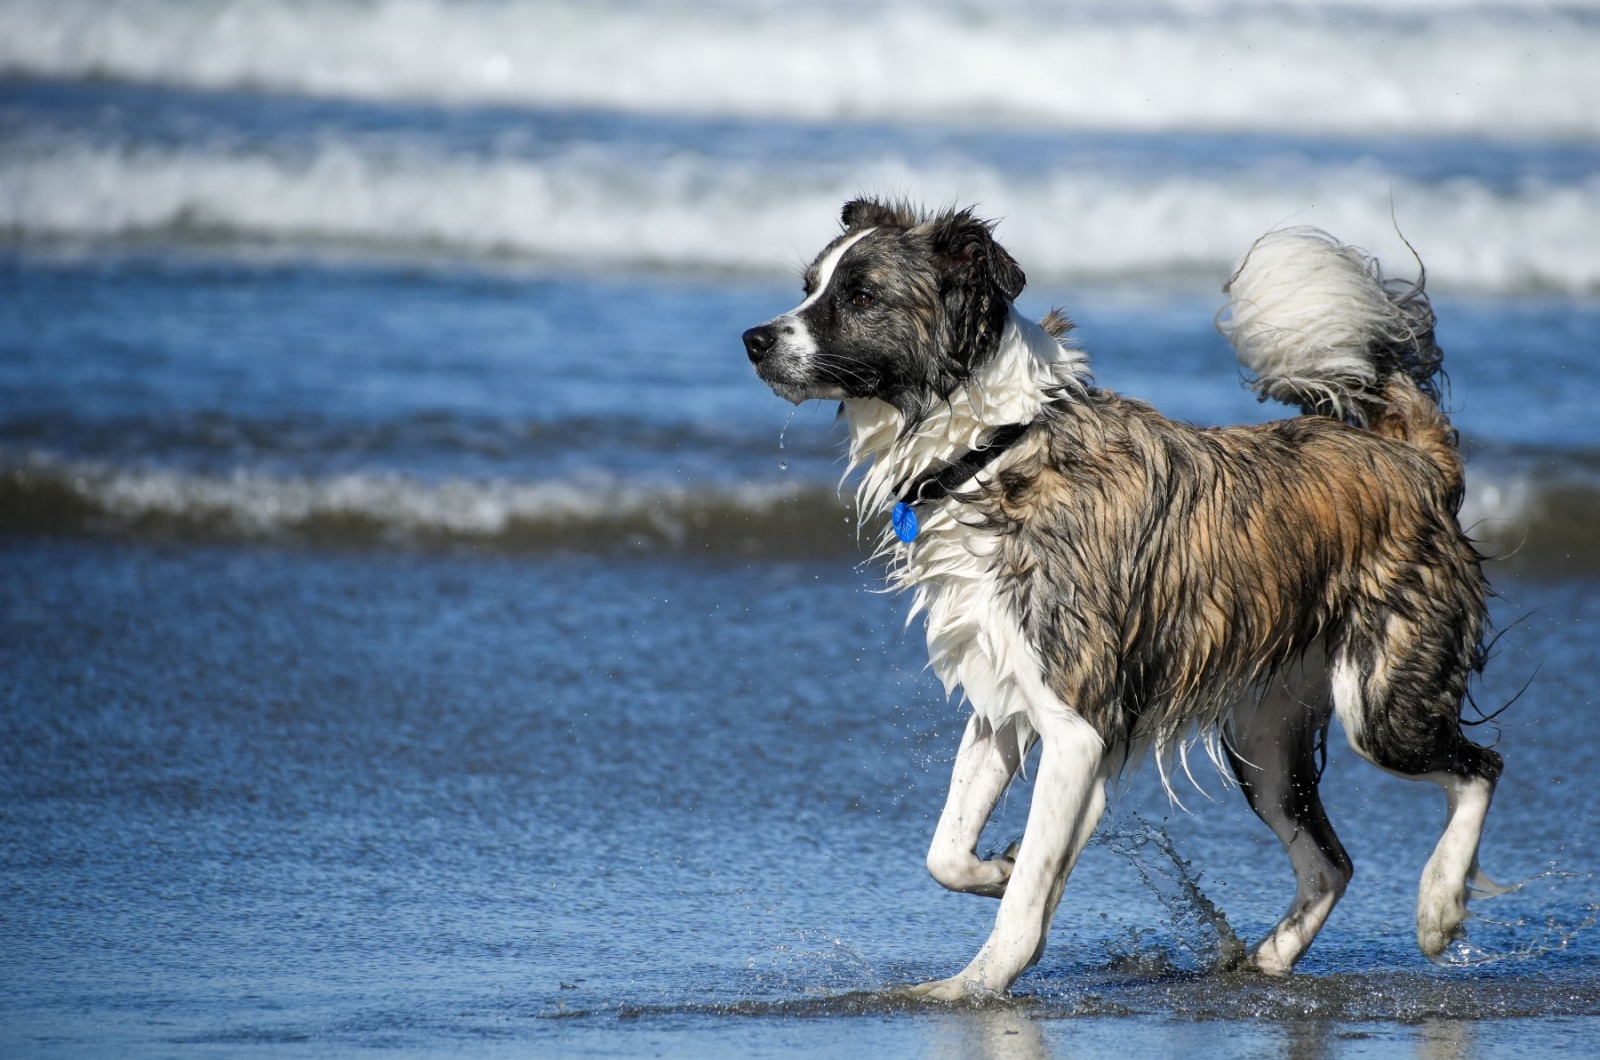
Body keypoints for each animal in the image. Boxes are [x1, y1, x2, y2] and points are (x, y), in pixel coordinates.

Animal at [742, 201, 1504, 1005]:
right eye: (809, 286)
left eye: (861, 296)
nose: (754, 340)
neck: (994, 447)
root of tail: (1416, 462)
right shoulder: (1004, 697)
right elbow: (946, 851)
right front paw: (998, 868)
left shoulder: (1076, 724)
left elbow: (1023, 901)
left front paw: (975, 982)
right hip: (1263, 739)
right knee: (1332, 861)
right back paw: (1268, 961)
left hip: (1381, 699)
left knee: (1479, 768)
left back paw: (1438, 906)